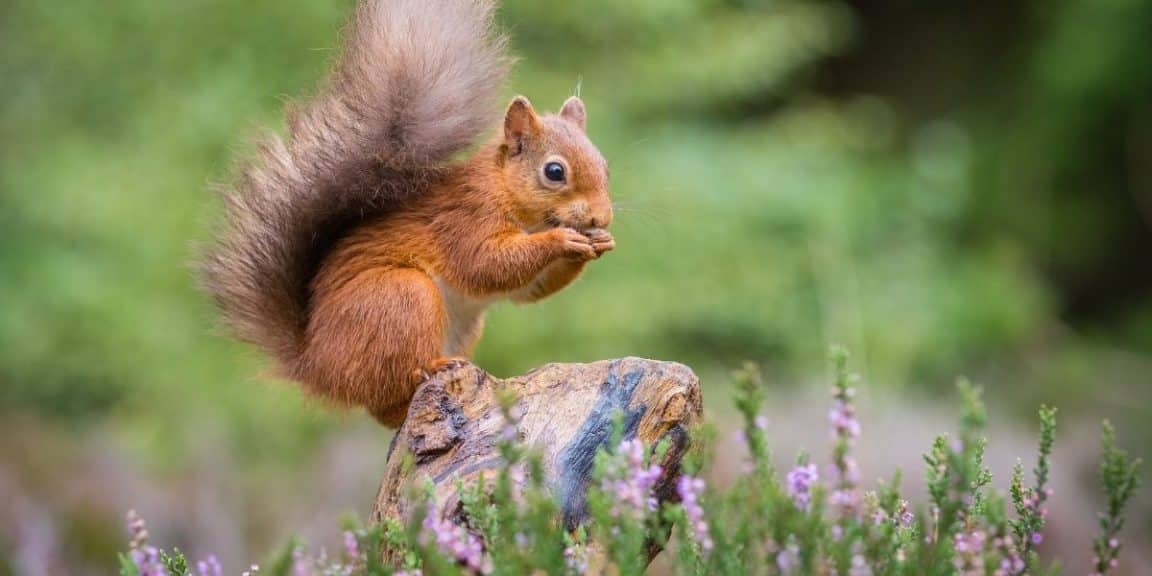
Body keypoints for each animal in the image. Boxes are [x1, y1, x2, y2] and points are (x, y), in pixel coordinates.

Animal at [200, 0, 612, 426]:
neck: (509, 195)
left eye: (605, 166)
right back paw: (432, 369)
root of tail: (317, 366)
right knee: (391, 390)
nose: (601, 218)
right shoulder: (464, 220)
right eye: (554, 172)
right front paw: (561, 239)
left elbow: (530, 289)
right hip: (401, 299)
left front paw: (598, 243)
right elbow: (486, 264)